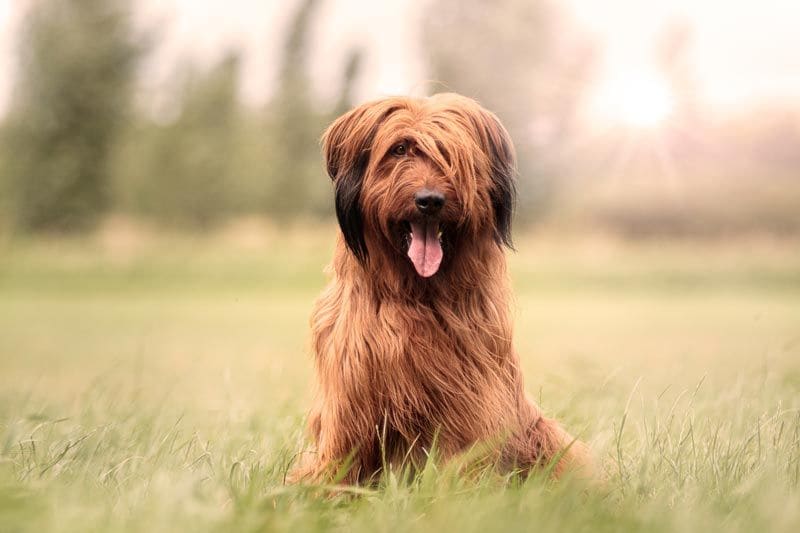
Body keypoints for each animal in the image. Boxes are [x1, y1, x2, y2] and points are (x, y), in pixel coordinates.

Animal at [292, 93, 588, 484]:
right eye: (399, 149)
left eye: (450, 154)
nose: (429, 200)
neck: (416, 294)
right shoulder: (351, 391)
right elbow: (344, 452)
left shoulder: (466, 391)